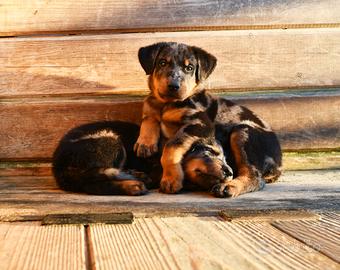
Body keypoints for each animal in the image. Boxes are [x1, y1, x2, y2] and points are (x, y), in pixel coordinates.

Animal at [51, 121, 231, 195]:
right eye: (209, 151)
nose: (230, 173)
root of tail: (58, 167)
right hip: (112, 140)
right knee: (92, 183)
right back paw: (134, 183)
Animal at [134, 42, 282, 198]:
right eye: (162, 63)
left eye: (189, 68)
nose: (174, 86)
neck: (167, 104)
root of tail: (279, 164)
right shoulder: (152, 106)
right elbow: (149, 114)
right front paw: (145, 144)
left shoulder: (200, 123)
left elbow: (172, 146)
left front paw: (171, 179)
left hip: (242, 131)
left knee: (254, 176)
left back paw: (228, 186)